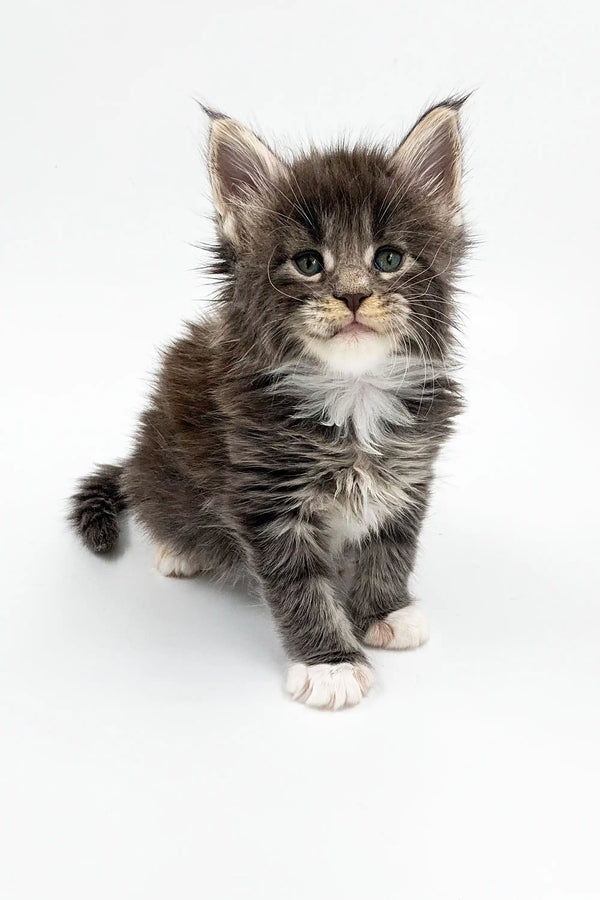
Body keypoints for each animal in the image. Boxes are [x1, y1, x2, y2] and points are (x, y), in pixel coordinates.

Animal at [70, 100, 468, 712]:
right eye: (308, 263)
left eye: (388, 258)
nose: (353, 295)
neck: (352, 395)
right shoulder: (267, 495)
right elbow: (298, 586)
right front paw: (331, 664)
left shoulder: (409, 473)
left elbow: (392, 545)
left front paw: (385, 610)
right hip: (160, 463)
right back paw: (178, 549)